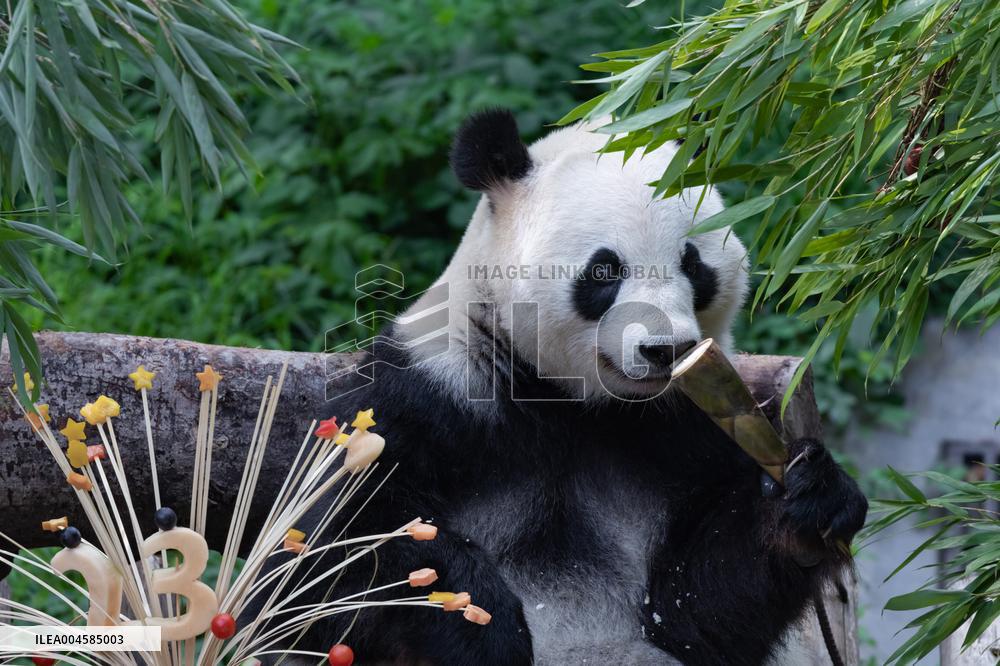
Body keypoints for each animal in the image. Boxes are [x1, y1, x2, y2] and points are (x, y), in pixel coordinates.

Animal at [275, 109, 868, 666]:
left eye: (693, 264)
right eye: (604, 270)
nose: (665, 350)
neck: (574, 402)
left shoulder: (687, 430)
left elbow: (695, 613)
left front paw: (810, 499)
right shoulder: (436, 395)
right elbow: (330, 548)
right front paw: (487, 629)